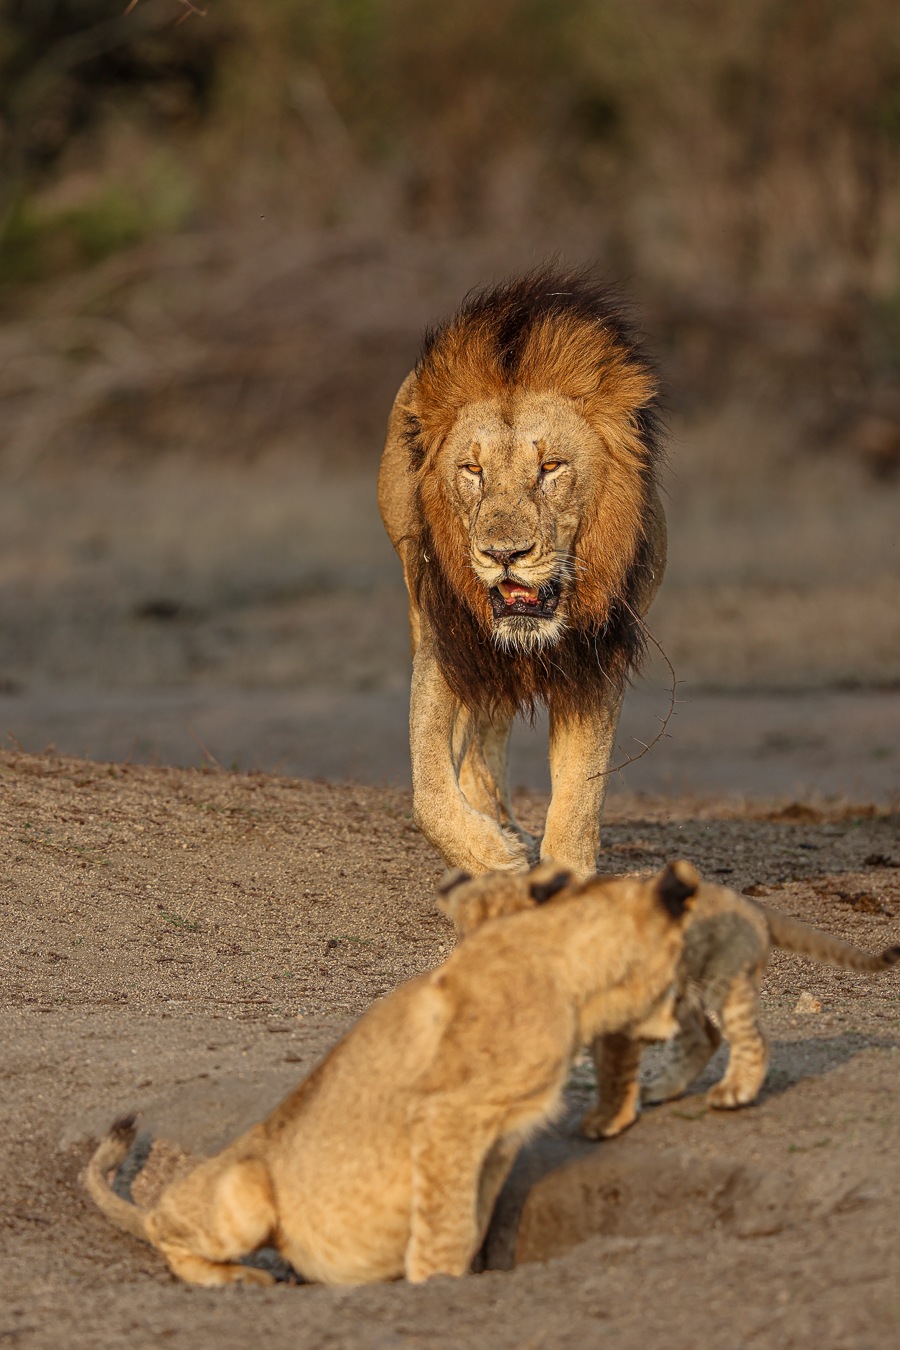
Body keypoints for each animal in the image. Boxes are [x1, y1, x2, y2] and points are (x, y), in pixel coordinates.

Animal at [82, 862, 697, 1288]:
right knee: (165, 1233)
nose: (676, 1019)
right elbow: (448, 1225)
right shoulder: (448, 1114)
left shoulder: (498, 1140)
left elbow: (468, 1218)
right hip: (243, 1191)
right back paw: (240, 1277)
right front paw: (436, 1286)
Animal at [378, 266, 666, 877]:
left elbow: (581, 791)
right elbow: (427, 789)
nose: (503, 554)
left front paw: (566, 874)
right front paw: (492, 855)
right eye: (473, 470)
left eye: (551, 466)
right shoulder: (447, 638)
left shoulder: (595, 659)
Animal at [437, 864, 900, 1137]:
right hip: (681, 989)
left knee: (750, 1039)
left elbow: (614, 1069)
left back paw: (734, 1092)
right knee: (705, 1036)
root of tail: (745, 900)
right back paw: (661, 1088)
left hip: (724, 978)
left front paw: (608, 1120)